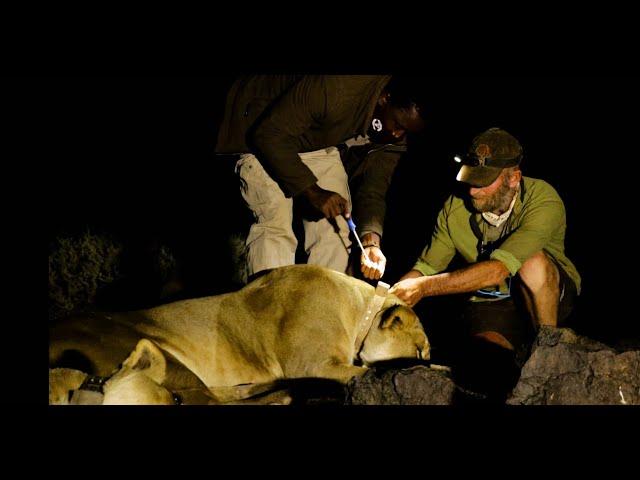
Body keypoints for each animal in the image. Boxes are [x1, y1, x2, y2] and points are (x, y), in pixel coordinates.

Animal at [50, 264, 430, 404]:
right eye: (421, 350)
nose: (425, 359)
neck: (360, 311)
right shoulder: (312, 364)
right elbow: (368, 370)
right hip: (157, 356)